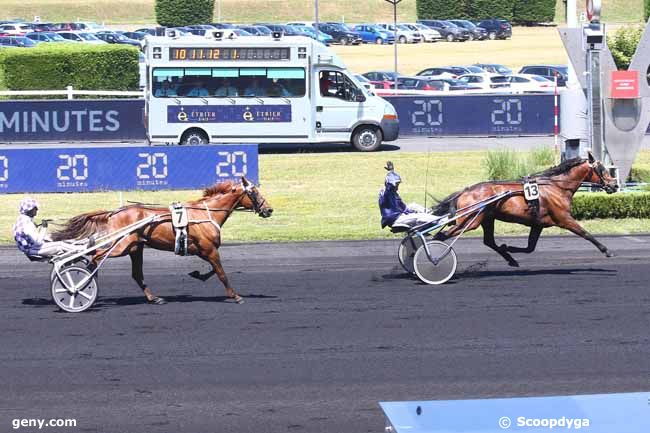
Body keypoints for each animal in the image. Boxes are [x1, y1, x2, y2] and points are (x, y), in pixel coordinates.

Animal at [51, 176, 270, 304]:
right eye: (254, 192)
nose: (269, 209)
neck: (206, 214)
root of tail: (115, 212)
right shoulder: (209, 249)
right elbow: (221, 273)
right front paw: (236, 296)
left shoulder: (203, 250)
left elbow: (212, 271)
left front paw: (197, 274)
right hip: (121, 245)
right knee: (95, 255)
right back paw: (84, 282)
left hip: (135, 248)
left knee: (136, 274)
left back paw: (153, 298)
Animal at [430, 152, 616, 266]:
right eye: (602, 169)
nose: (614, 185)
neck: (556, 187)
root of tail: (465, 191)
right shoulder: (564, 218)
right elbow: (586, 233)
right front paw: (607, 251)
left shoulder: (538, 224)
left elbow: (530, 247)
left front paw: (507, 247)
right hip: (471, 221)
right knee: (441, 235)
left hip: (486, 218)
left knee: (488, 241)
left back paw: (511, 259)